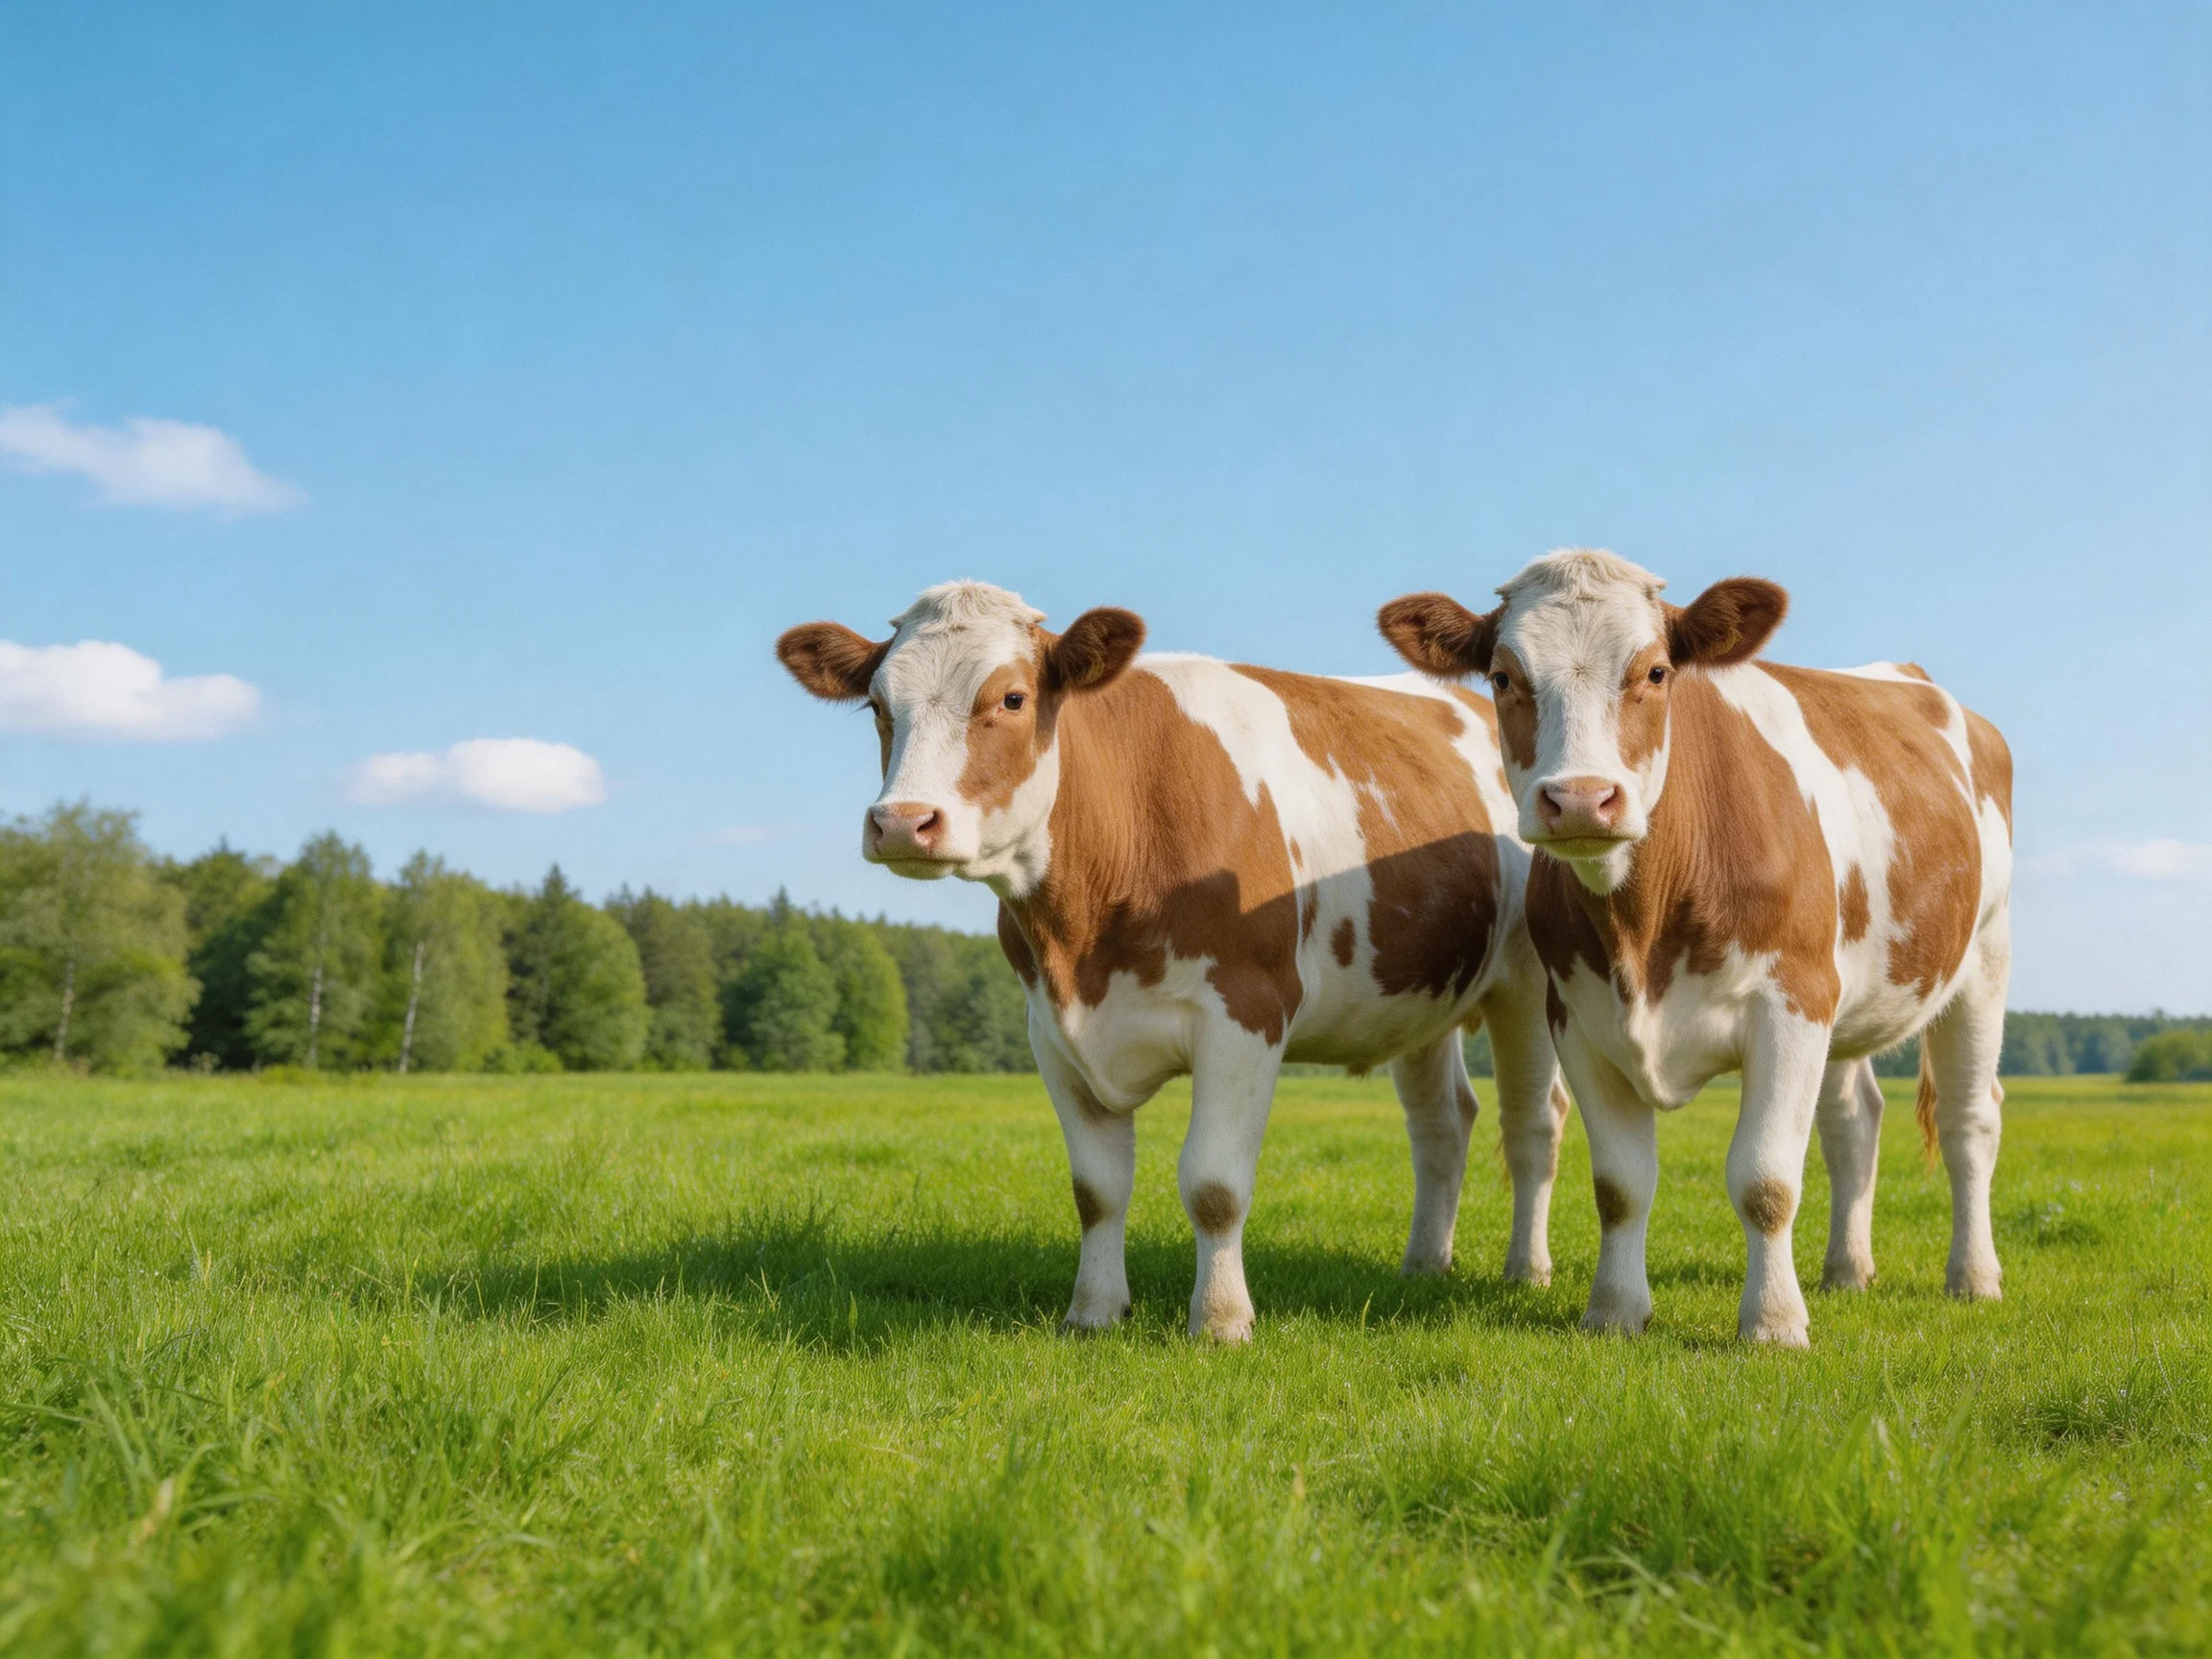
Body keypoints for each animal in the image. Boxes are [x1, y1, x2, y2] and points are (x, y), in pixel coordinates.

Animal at [776, 581, 1570, 1341]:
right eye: (879, 705)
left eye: (1012, 698)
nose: (902, 822)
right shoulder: (1050, 1032)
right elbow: (1096, 1190)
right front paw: (1093, 1313)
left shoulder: (1246, 1013)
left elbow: (1214, 1185)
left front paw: (1220, 1321)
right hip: (1415, 996)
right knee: (1443, 1123)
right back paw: (1424, 1264)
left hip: (1527, 981)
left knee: (1533, 1122)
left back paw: (1526, 1271)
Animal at [1379, 549, 2013, 1347]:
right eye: (1501, 677)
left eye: (1655, 672)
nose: (1582, 799)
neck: (1642, 928)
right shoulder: (1577, 1018)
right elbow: (1620, 1185)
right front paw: (1615, 1311)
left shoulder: (1791, 1003)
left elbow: (1766, 1180)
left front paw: (1773, 1323)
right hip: (1847, 995)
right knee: (1853, 1123)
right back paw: (1847, 1269)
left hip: (1983, 958)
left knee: (1969, 1122)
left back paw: (1974, 1277)